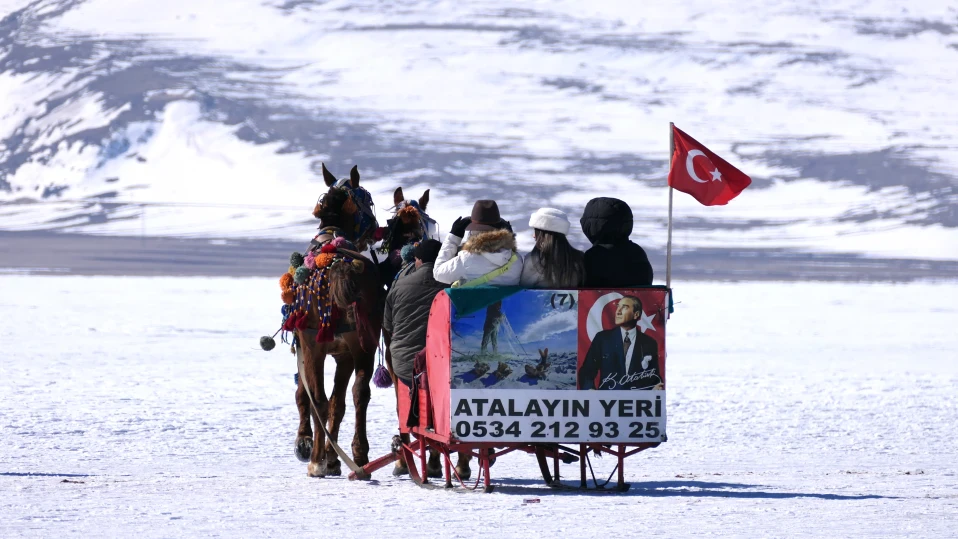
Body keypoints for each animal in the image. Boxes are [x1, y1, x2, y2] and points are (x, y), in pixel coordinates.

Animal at [290, 163, 384, 476]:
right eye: (369, 201)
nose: (376, 230)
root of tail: (338, 265)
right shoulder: (344, 355)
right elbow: (338, 403)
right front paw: (332, 457)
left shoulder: (308, 345)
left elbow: (306, 395)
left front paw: (307, 445)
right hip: (363, 344)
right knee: (359, 393)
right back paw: (358, 454)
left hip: (314, 344)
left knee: (318, 399)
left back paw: (317, 460)